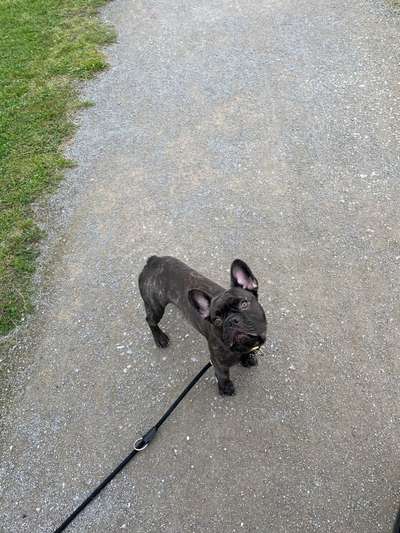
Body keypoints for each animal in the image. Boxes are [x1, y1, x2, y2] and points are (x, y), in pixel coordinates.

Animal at [139, 256, 268, 392]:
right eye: (217, 321)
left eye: (244, 304)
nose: (232, 321)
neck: (243, 347)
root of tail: (154, 260)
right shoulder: (218, 362)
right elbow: (223, 375)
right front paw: (225, 388)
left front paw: (247, 359)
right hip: (156, 307)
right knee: (150, 320)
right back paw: (160, 338)